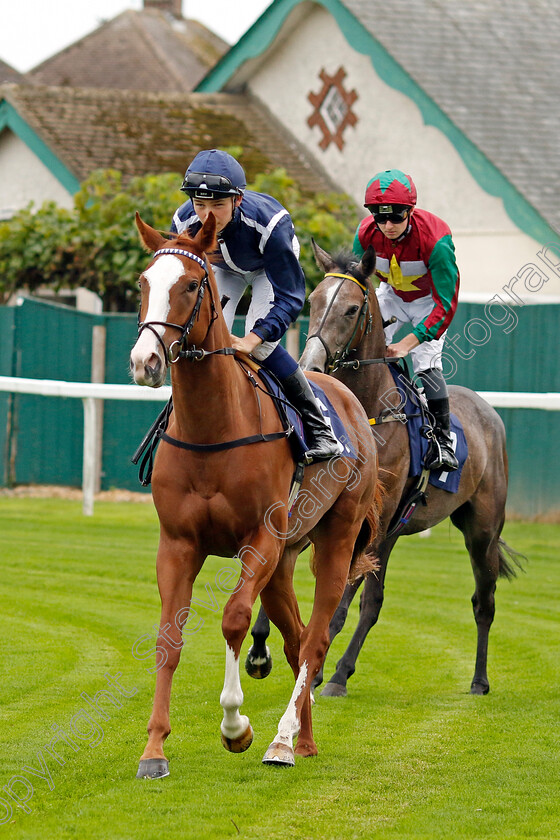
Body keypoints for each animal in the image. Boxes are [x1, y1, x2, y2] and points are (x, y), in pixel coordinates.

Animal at [129, 215, 380, 776]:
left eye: (191, 285)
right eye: (143, 283)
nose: (145, 361)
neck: (214, 428)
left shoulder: (258, 540)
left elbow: (234, 619)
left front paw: (235, 726)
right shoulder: (177, 544)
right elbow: (168, 638)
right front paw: (154, 750)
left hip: (335, 540)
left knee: (316, 640)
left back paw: (282, 742)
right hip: (284, 560)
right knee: (295, 639)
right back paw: (304, 739)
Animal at [247, 241, 524, 696]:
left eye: (351, 309)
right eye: (313, 301)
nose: (311, 364)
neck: (367, 413)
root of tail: (489, 412)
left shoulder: (363, 522)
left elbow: (340, 601)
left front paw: (315, 670)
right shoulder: (318, 511)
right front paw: (259, 649)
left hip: (481, 530)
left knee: (483, 602)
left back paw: (477, 680)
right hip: (393, 532)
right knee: (374, 604)